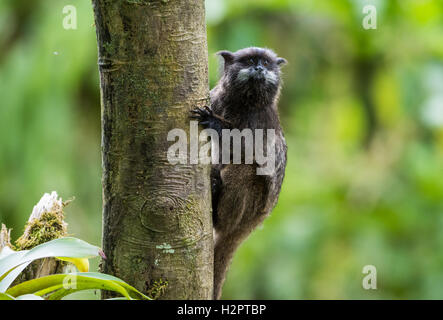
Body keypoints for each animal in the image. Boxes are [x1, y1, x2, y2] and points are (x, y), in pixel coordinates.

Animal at [191, 47, 288, 300]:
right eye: (251, 60)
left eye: (266, 63)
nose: (259, 69)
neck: (245, 103)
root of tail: (255, 222)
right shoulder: (215, 97)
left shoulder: (262, 121)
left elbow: (248, 150)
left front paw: (215, 124)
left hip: (252, 208)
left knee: (245, 167)